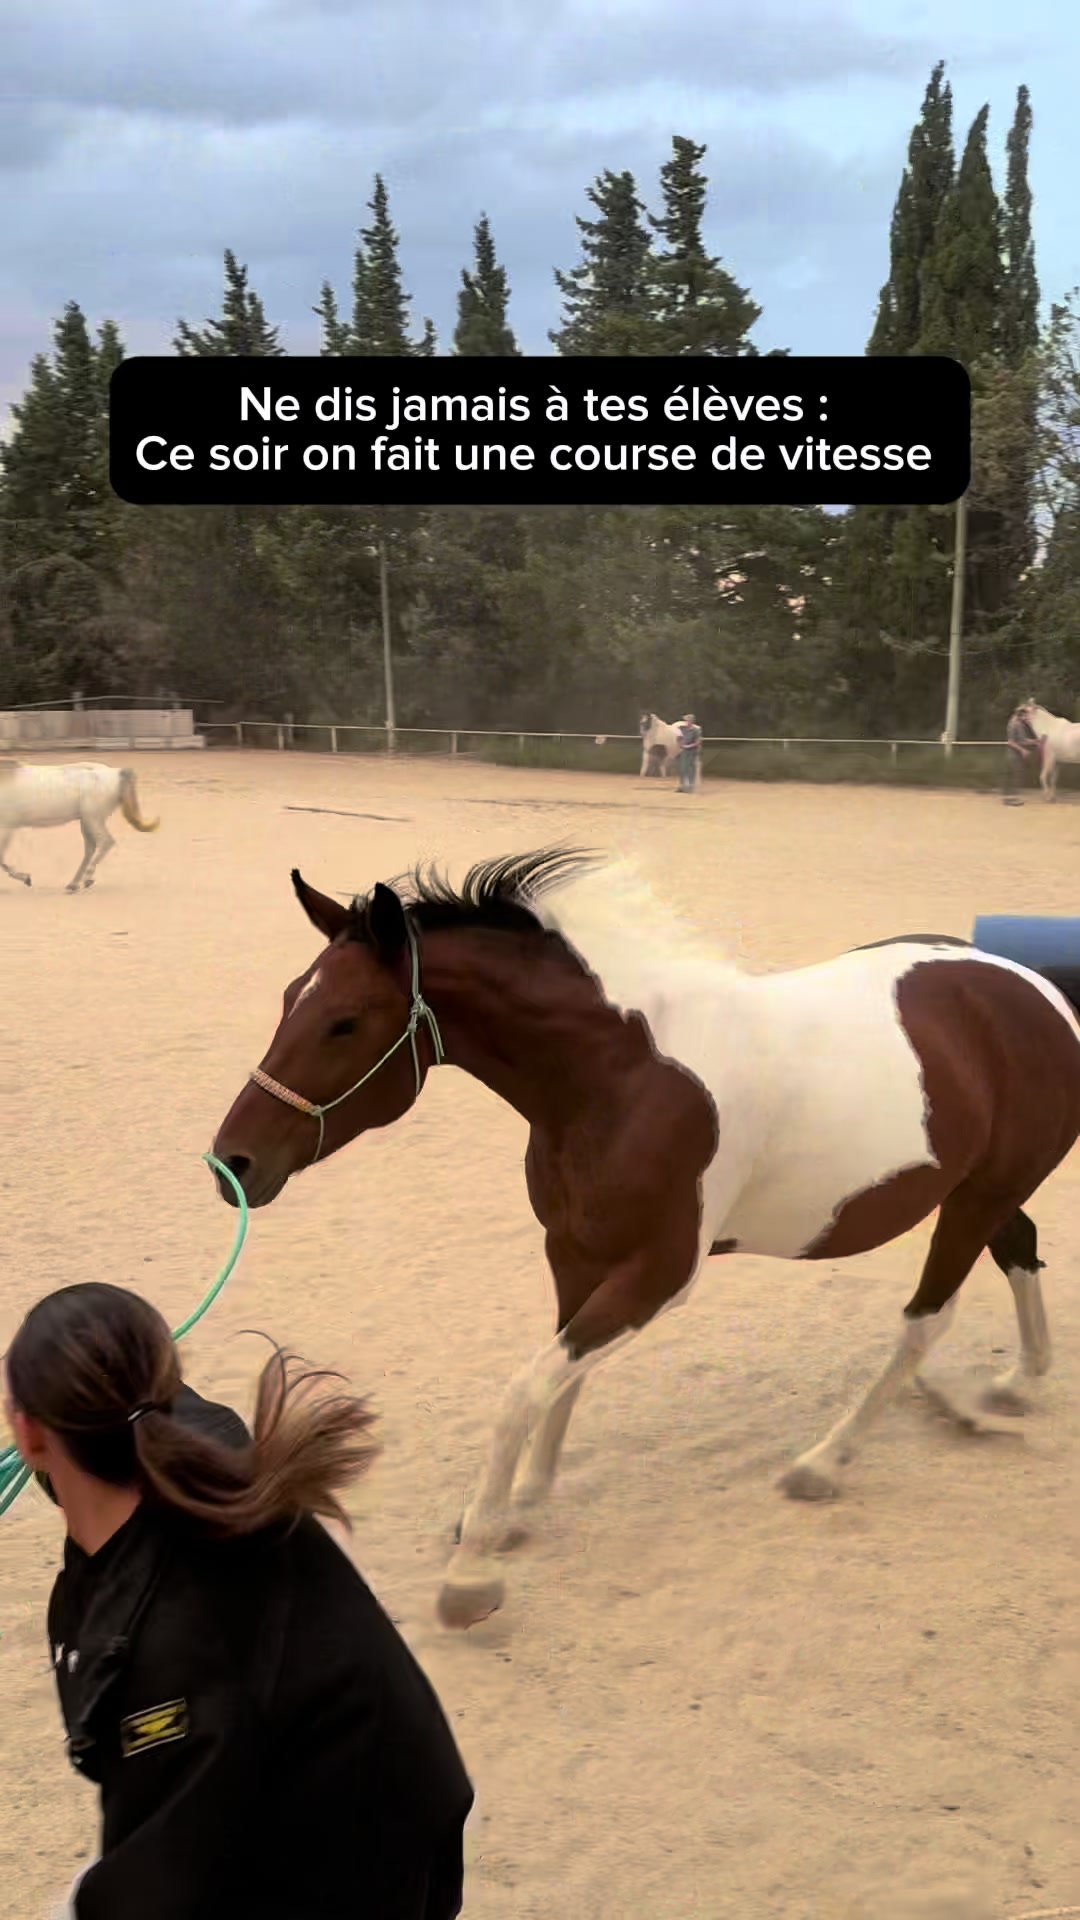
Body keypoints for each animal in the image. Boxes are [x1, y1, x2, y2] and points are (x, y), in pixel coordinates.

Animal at [0, 761, 159, 892]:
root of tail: (115, 773)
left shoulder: (7, 827)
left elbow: (1, 858)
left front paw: (26, 878)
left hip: (93, 819)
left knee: (106, 842)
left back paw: (86, 879)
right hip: (87, 821)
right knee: (90, 848)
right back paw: (74, 884)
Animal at [210, 851, 1080, 1630]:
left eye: (345, 1022)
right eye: (289, 997)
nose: (232, 1163)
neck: (622, 1078)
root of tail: (1035, 989)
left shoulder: (659, 1275)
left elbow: (525, 1391)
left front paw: (472, 1570)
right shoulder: (576, 1255)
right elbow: (559, 1377)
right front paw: (522, 1506)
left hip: (976, 1198)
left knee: (926, 1321)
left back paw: (823, 1462)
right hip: (978, 1193)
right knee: (1018, 1249)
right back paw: (1016, 1384)